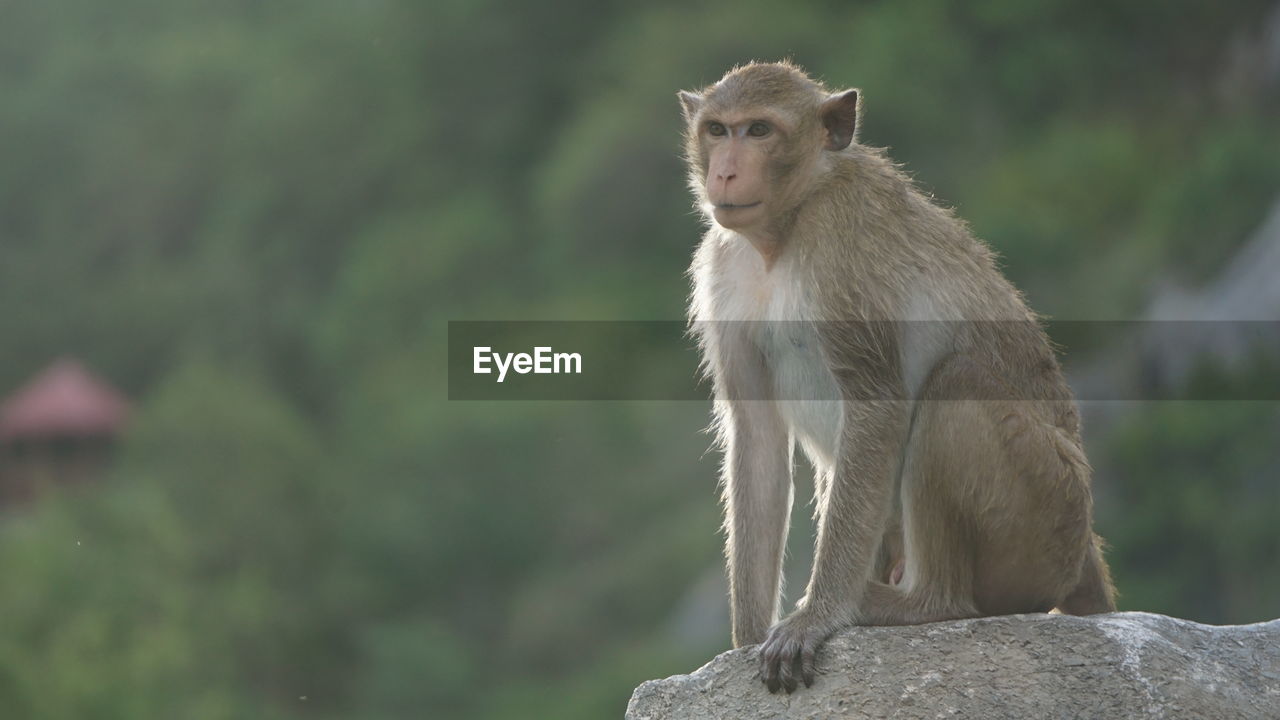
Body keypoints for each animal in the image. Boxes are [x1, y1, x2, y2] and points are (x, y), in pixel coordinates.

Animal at [680, 61, 1111, 691]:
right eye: (717, 129)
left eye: (758, 130)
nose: (725, 171)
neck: (784, 231)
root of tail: (1083, 553)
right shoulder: (722, 267)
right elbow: (757, 434)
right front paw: (744, 639)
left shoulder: (839, 248)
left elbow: (878, 403)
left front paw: (815, 618)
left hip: (1045, 514)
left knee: (958, 383)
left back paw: (923, 603)